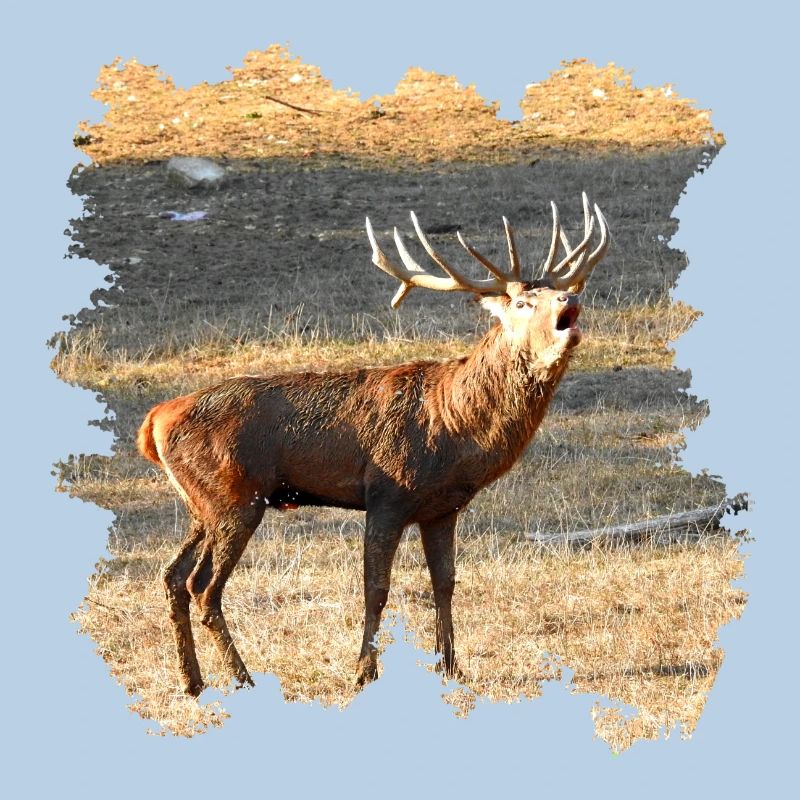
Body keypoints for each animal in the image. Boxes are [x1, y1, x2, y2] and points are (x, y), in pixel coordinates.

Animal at [137, 193, 609, 696]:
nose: (570, 297)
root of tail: (154, 421)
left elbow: (445, 583)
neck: (456, 429)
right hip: (235, 497)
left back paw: (193, 681)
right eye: (522, 301)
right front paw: (365, 672)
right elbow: (376, 588)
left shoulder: (443, 508)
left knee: (172, 576)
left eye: (554, 291)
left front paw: (450, 666)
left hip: (203, 503)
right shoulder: (387, 494)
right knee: (203, 587)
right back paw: (243, 679)